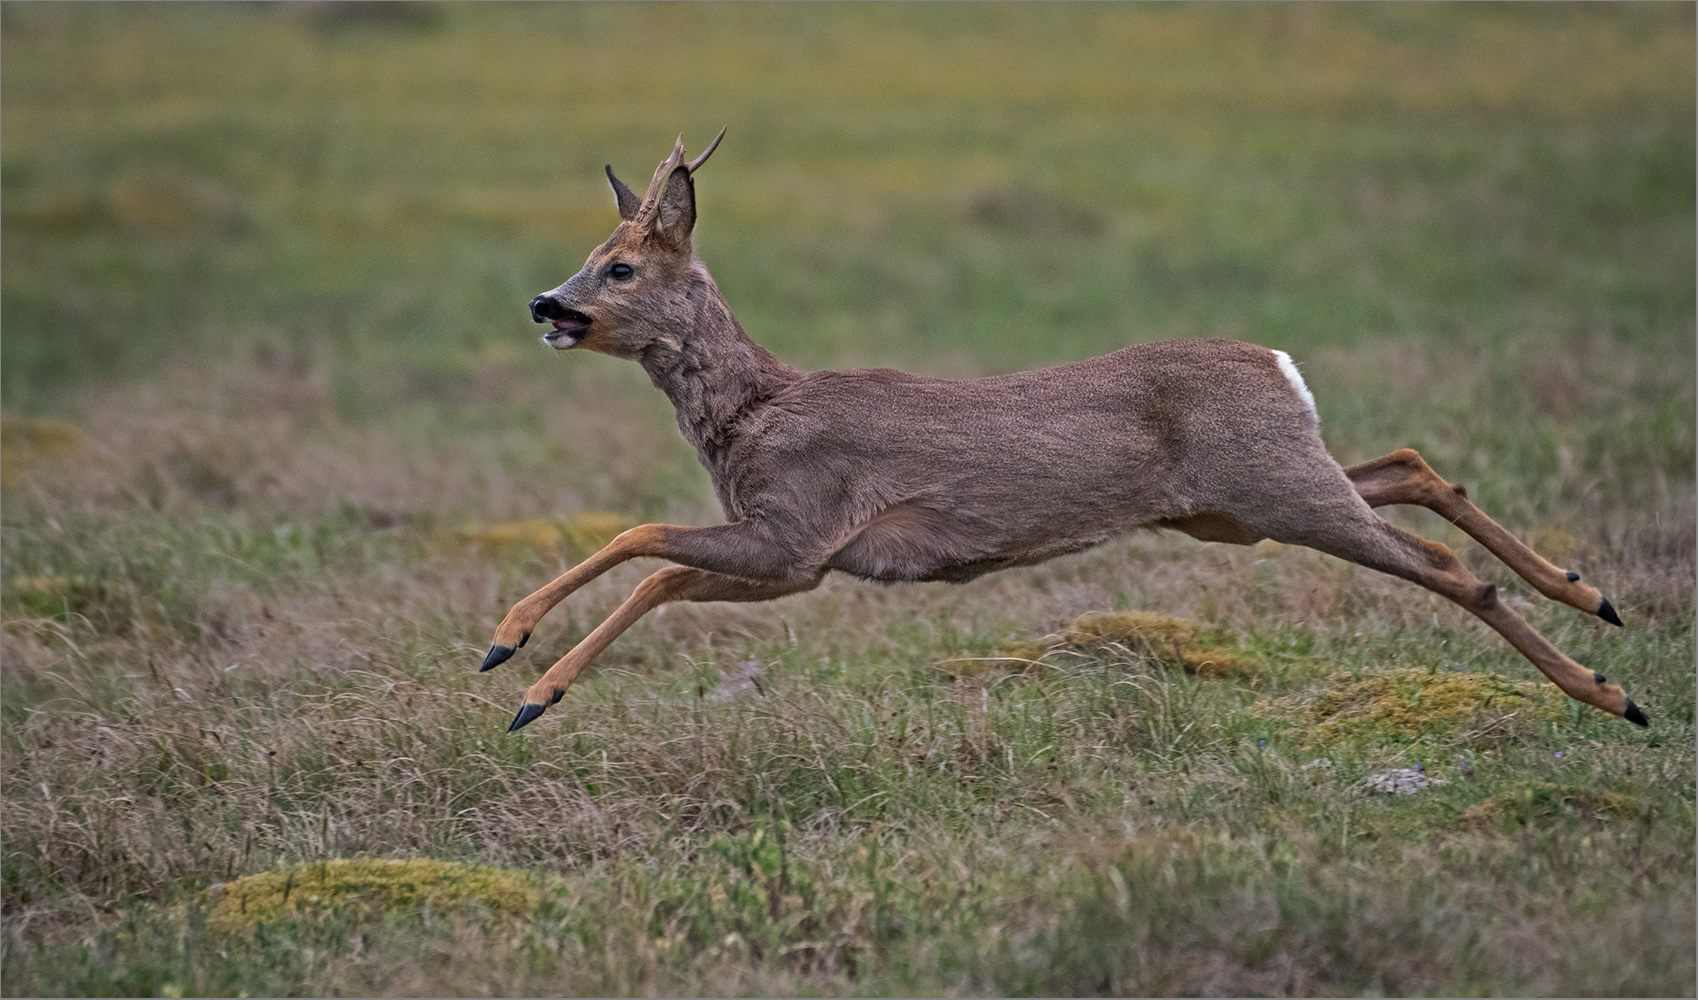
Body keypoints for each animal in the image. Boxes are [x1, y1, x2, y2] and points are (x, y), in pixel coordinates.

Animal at [478, 129, 1643, 730]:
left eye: (620, 266)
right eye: (590, 257)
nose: (542, 301)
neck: (754, 413)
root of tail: (1280, 365)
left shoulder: (798, 529)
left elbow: (639, 544)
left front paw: (518, 668)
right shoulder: (803, 561)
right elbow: (664, 570)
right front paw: (522, 668)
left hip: (1275, 491)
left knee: (1442, 562)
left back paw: (1612, 691)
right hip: (1240, 502)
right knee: (1406, 465)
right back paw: (1593, 594)